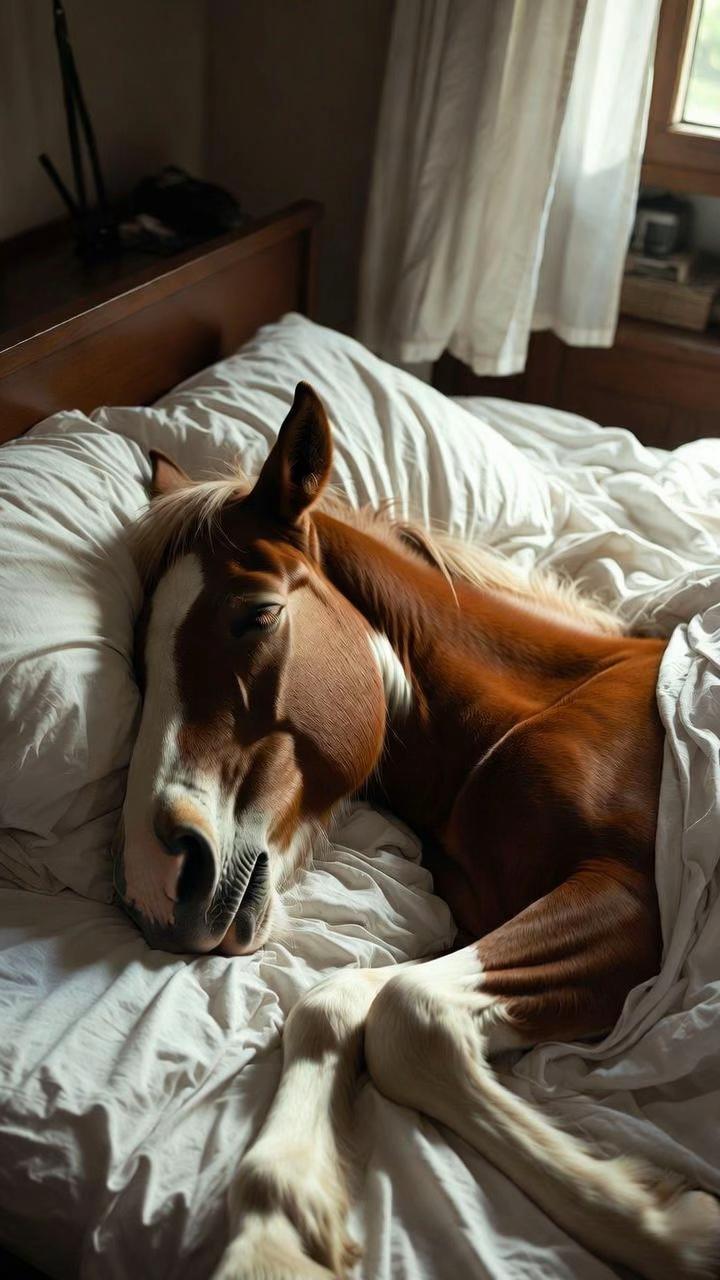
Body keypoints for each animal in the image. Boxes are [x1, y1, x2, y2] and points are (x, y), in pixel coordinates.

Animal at [115, 383, 720, 1280]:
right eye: (138, 664)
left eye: (256, 615)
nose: (157, 881)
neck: (541, 710)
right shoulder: (494, 926)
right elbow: (334, 1003)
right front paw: (278, 1227)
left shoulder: (634, 902)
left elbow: (408, 1017)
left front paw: (673, 1228)